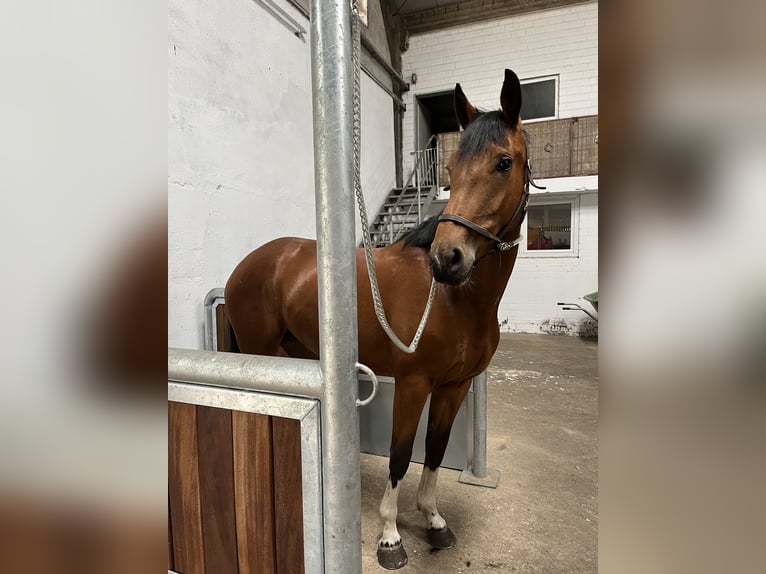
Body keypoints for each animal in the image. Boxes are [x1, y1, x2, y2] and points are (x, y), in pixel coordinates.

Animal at [225, 69, 532, 569]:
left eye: (504, 162)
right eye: (450, 170)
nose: (447, 258)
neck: (455, 299)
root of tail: (251, 262)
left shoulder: (454, 386)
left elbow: (434, 451)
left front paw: (433, 521)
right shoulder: (412, 384)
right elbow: (400, 456)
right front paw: (390, 538)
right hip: (259, 352)